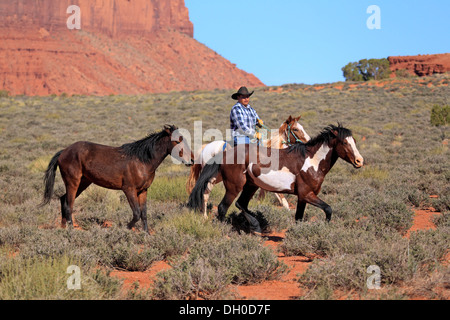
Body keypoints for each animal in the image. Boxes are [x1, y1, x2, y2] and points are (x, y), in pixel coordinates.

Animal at [42, 125, 195, 232]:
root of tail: (64, 151)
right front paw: (125, 229)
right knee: (69, 205)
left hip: (84, 182)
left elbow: (144, 213)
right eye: (177, 141)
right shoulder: (129, 190)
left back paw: (63, 228)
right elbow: (136, 213)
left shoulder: (143, 191)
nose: (192, 160)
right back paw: (71, 229)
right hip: (73, 182)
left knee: (63, 200)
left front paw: (146, 234)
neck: (142, 161)